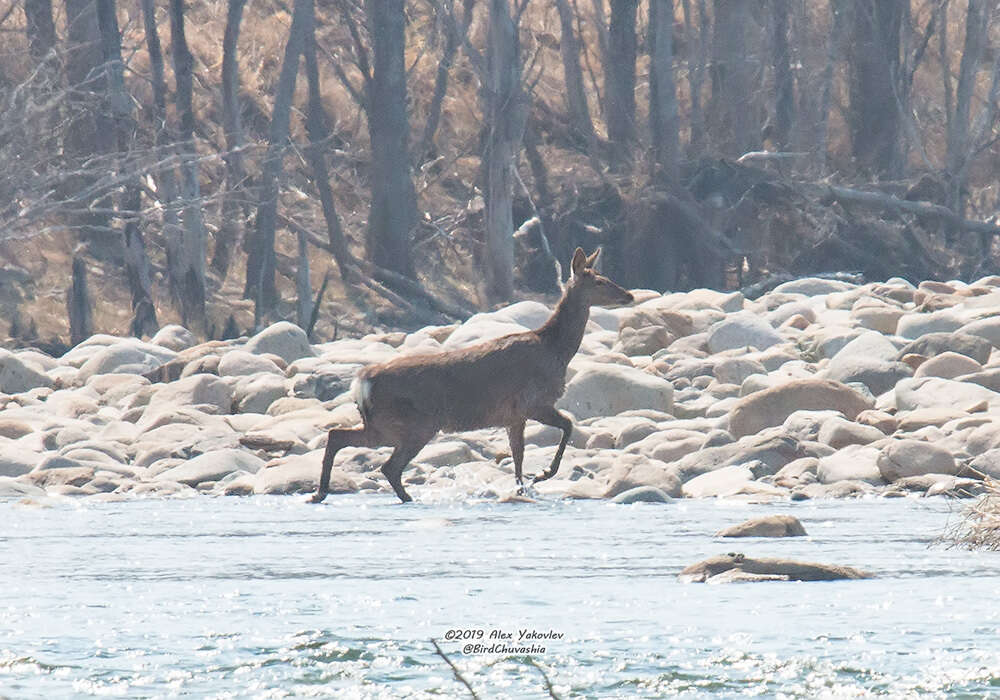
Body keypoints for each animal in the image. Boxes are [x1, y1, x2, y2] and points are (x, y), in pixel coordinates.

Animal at [310, 249, 632, 506]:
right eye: (600, 281)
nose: (629, 295)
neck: (555, 350)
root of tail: (362, 381)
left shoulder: (514, 416)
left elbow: (518, 455)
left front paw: (523, 488)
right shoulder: (533, 402)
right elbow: (568, 425)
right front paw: (543, 475)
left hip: (383, 423)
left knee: (338, 436)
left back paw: (320, 493)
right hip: (415, 423)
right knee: (388, 466)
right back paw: (403, 497)